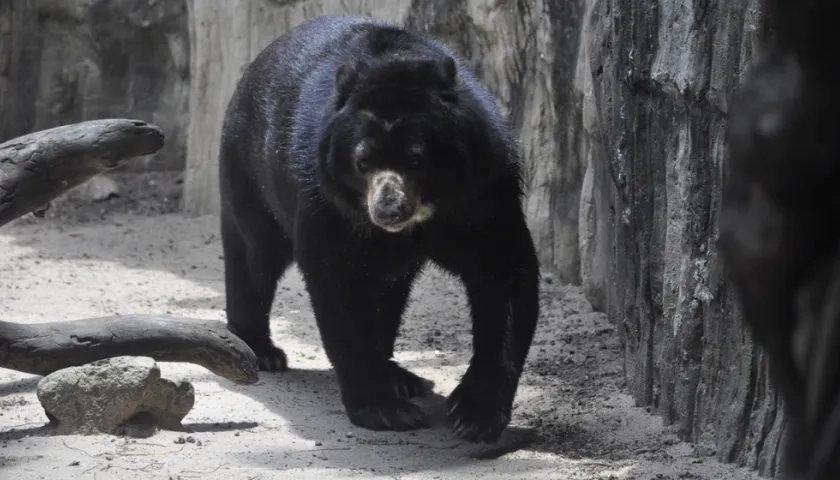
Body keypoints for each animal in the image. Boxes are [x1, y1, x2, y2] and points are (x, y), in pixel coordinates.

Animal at [218, 14, 540, 443]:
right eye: (363, 161)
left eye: (417, 159)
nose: (387, 209)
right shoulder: (328, 200)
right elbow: (336, 282)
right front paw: (385, 409)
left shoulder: (484, 188)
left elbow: (501, 270)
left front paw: (474, 414)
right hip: (250, 170)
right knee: (255, 254)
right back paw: (262, 349)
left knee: (387, 292)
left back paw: (401, 376)